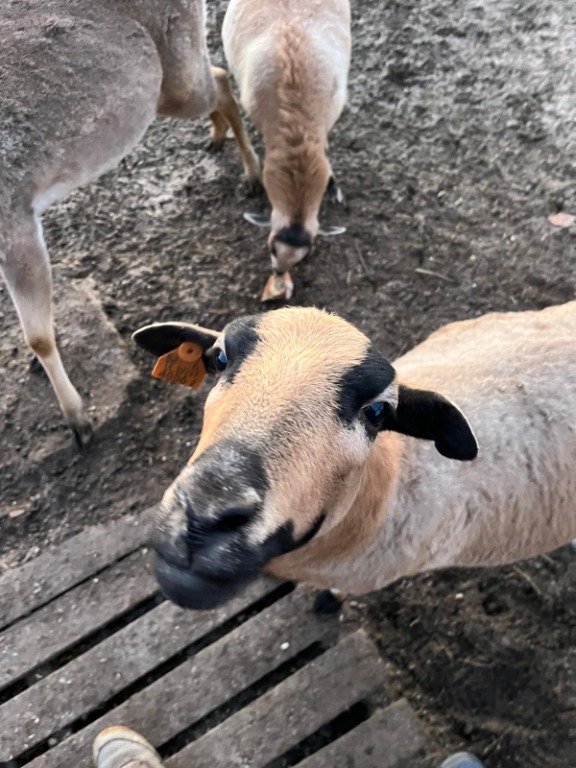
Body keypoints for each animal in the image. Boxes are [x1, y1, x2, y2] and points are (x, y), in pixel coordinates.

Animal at [0, 0, 259, 446]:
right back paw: (216, 138)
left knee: (221, 80)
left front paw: (79, 421)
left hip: (177, 79)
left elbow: (38, 336)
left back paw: (253, 175)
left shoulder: (15, 215)